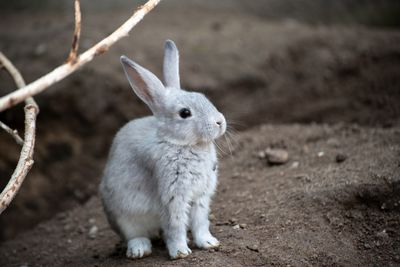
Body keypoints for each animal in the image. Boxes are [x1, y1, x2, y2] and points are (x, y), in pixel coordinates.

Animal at [99, 39, 227, 260]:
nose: (220, 122)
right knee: (134, 235)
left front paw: (209, 243)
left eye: (203, 97)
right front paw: (180, 252)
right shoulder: (172, 195)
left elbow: (201, 222)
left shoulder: (201, 197)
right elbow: (175, 226)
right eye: (185, 113)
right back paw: (139, 249)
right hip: (124, 218)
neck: (180, 143)